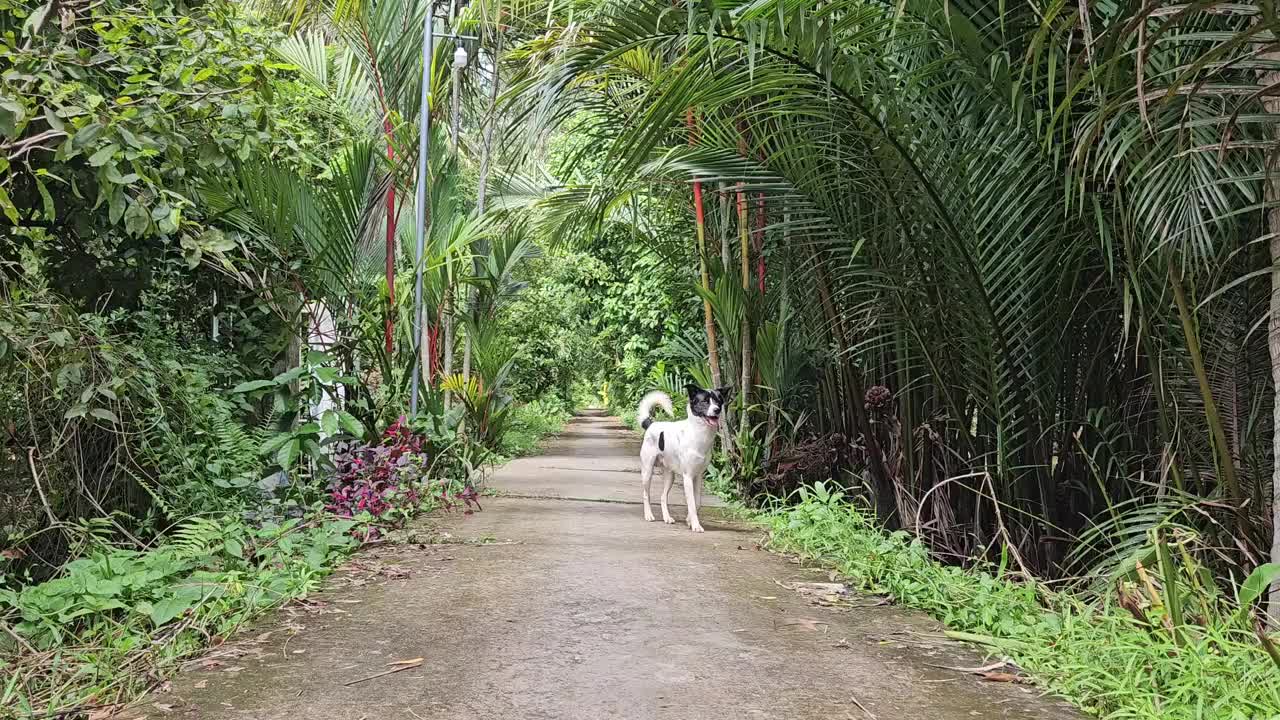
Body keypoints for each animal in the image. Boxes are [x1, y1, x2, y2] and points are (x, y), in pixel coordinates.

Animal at [637, 384, 737, 530]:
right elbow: (691, 504)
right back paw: (649, 515)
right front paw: (695, 525)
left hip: (670, 475)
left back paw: (667, 518)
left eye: (719, 401)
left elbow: (697, 503)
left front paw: (690, 520)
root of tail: (651, 424)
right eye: (705, 401)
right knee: (645, 494)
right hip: (647, 471)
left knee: (663, 497)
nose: (717, 410)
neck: (698, 433)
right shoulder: (688, 477)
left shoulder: (698, 476)